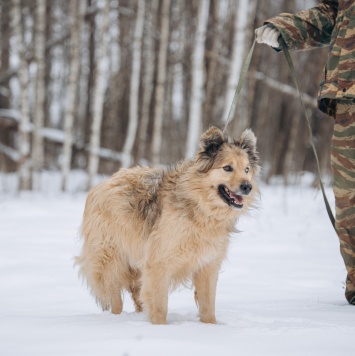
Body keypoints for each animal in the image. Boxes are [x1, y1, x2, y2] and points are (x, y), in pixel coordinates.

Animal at [76, 126, 260, 324]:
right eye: (227, 168)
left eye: (247, 169)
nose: (247, 187)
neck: (200, 207)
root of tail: (102, 184)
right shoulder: (158, 264)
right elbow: (159, 306)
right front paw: (160, 327)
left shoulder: (207, 266)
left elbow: (207, 305)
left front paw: (210, 326)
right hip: (109, 262)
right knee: (115, 299)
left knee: (138, 296)